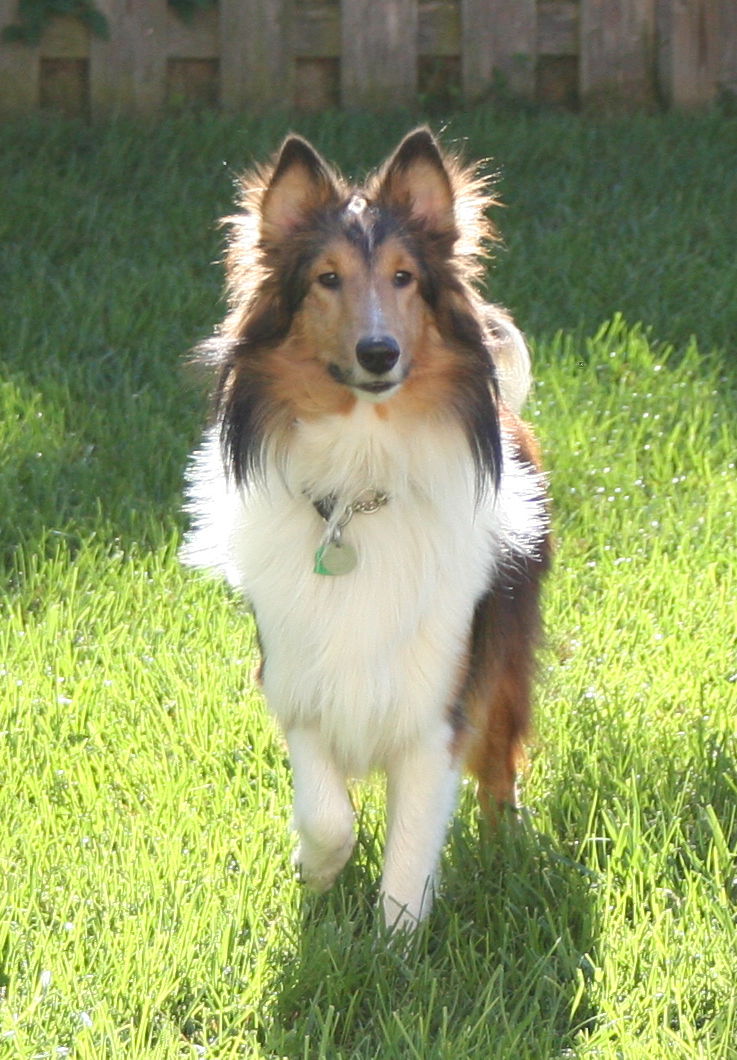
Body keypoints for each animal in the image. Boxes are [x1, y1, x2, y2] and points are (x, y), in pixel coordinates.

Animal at [181, 128, 551, 932]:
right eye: (327, 279)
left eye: (404, 278)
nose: (379, 353)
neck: (361, 477)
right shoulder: (296, 673)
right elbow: (328, 814)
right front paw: (316, 873)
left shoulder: (438, 699)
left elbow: (411, 847)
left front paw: (395, 945)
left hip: (505, 650)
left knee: (500, 763)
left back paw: (505, 845)